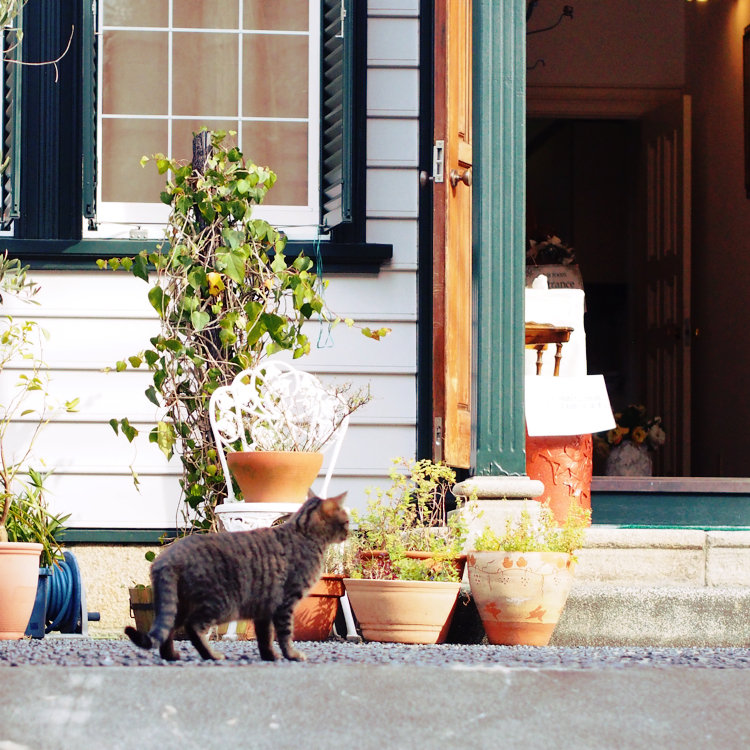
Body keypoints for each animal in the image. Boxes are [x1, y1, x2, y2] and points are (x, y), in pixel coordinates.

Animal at [125, 494, 350, 664]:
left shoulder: (264, 609)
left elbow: (265, 638)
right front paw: (292, 656)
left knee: (169, 629)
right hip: (220, 604)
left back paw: (171, 656)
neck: (303, 533)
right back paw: (212, 655)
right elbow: (285, 635)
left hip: (179, 605)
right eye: (346, 521)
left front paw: (269, 657)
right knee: (193, 628)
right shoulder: (284, 604)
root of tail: (167, 556)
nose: (349, 532)